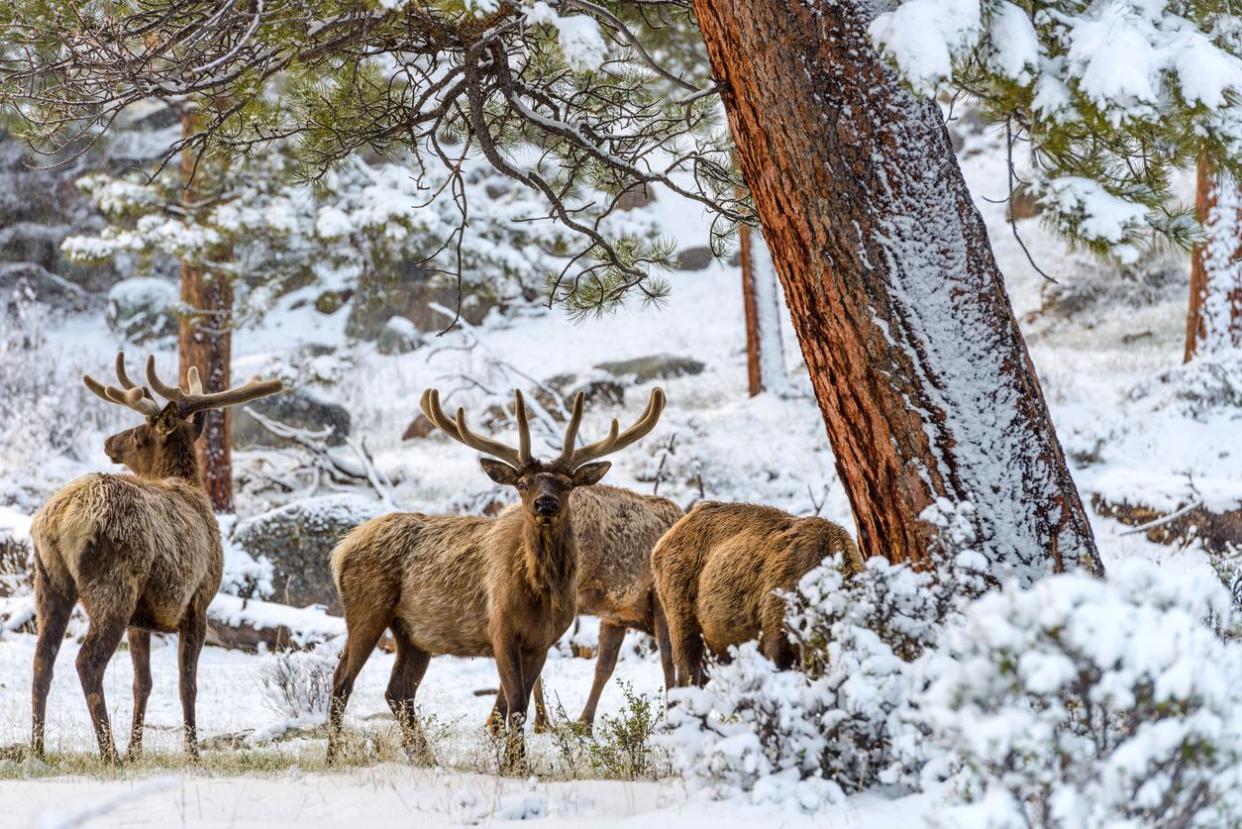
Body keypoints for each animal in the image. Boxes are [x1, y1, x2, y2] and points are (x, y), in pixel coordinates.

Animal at [29, 352, 284, 760]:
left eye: (137, 432)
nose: (109, 441)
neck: (191, 488)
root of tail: (60, 519)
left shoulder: (141, 620)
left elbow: (143, 682)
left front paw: (137, 750)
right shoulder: (197, 603)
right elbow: (187, 684)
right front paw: (192, 752)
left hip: (50, 581)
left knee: (42, 659)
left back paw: (37, 748)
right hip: (113, 586)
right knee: (87, 661)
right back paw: (109, 754)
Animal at [325, 385, 665, 770]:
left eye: (566, 484)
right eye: (522, 483)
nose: (545, 504)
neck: (541, 594)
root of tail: (342, 548)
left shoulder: (543, 641)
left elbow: (514, 705)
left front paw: (511, 762)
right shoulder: (500, 629)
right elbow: (515, 703)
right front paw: (516, 765)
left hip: (413, 634)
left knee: (398, 691)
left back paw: (426, 757)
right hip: (366, 609)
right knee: (342, 680)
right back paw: (334, 756)